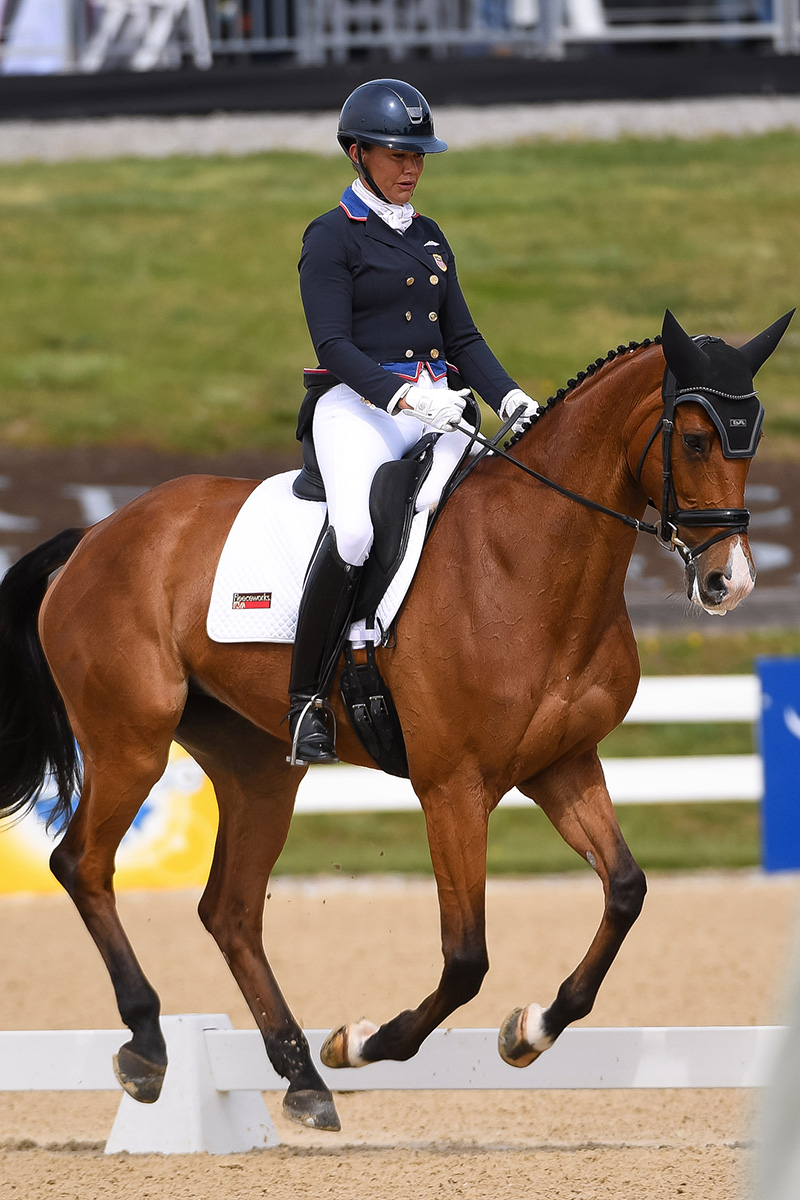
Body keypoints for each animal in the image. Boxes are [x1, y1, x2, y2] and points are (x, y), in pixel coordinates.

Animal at [0, 308, 791, 1133]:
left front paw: (530, 1030)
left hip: (256, 767)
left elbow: (626, 891)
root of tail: (94, 537)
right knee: (83, 865)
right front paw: (364, 1043)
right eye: (695, 439)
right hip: (129, 742)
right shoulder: (452, 786)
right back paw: (151, 1044)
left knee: (230, 910)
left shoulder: (562, 765)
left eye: (754, 435)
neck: (527, 559)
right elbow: (466, 957)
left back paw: (301, 1077)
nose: (730, 582)